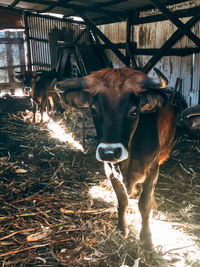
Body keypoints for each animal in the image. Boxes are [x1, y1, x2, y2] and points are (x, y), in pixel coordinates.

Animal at [54, 68, 175, 251]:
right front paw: (122, 229)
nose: (109, 152)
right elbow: (122, 200)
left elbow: (144, 204)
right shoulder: (109, 170)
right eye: (93, 110)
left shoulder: (153, 169)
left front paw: (146, 239)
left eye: (134, 111)